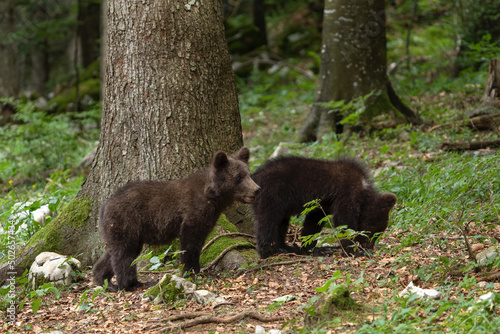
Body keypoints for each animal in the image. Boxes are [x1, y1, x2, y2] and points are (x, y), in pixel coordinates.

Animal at [92, 147, 262, 290]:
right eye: (238, 177)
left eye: (249, 174)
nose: (257, 189)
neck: (213, 197)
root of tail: (104, 206)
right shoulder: (193, 213)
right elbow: (189, 243)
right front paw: (190, 272)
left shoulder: (209, 217)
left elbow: (199, 242)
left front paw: (198, 270)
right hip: (126, 221)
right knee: (124, 254)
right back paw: (133, 284)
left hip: (121, 230)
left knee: (113, 252)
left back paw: (105, 281)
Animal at [252, 157, 396, 258]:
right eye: (372, 229)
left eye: (379, 232)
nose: (368, 247)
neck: (362, 189)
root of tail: (255, 177)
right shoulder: (346, 193)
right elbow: (344, 221)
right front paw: (353, 251)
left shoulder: (321, 205)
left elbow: (312, 223)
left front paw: (308, 247)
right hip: (273, 195)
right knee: (267, 221)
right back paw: (270, 251)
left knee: (281, 223)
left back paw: (286, 247)